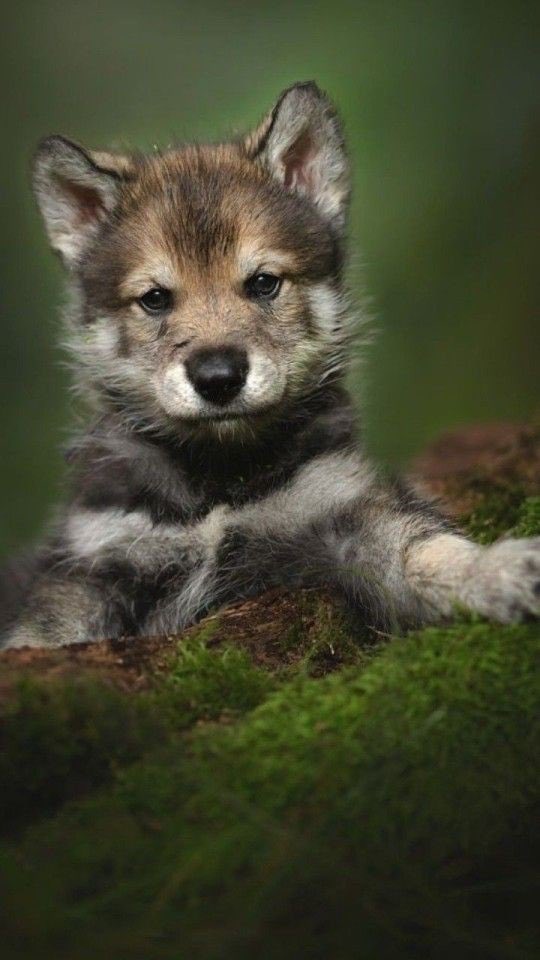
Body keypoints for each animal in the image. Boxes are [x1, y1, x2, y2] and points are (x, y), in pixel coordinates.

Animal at [1, 81, 538, 649]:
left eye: (263, 283)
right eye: (155, 299)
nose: (218, 378)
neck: (218, 484)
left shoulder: (343, 509)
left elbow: (426, 549)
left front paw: (496, 570)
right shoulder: (95, 565)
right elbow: (41, 635)